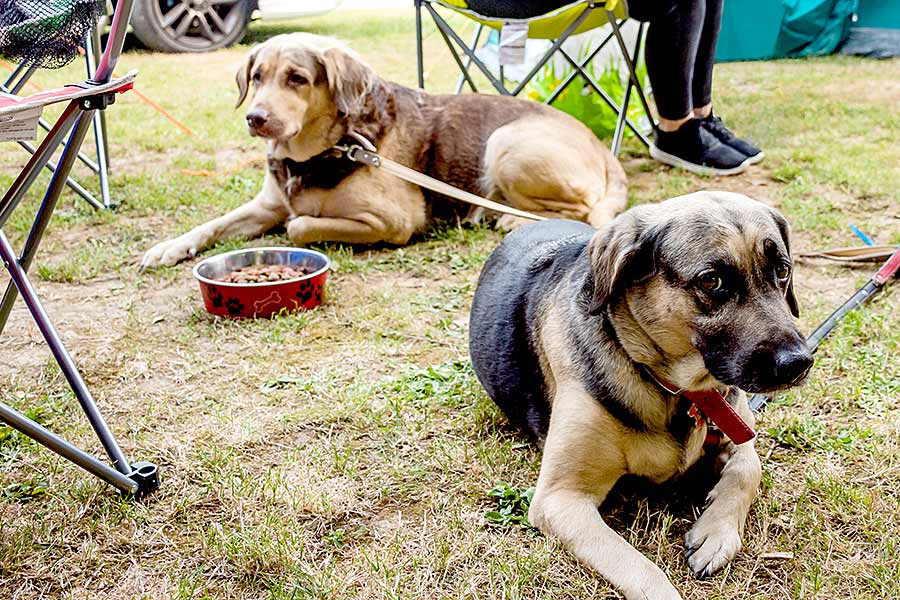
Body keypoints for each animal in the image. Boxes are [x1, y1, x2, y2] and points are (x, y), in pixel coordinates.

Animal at [144, 32, 628, 268]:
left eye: (297, 79)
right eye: (257, 76)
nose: (255, 118)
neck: (324, 149)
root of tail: (605, 152)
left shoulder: (394, 222)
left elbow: (299, 226)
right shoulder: (266, 205)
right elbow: (211, 225)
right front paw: (169, 247)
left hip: (505, 144)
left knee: (583, 209)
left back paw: (509, 217)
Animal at [468, 192, 812, 600]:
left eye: (782, 271)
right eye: (712, 280)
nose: (799, 363)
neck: (678, 389)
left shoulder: (736, 428)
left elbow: (748, 469)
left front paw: (715, 532)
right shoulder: (560, 498)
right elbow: (642, 569)